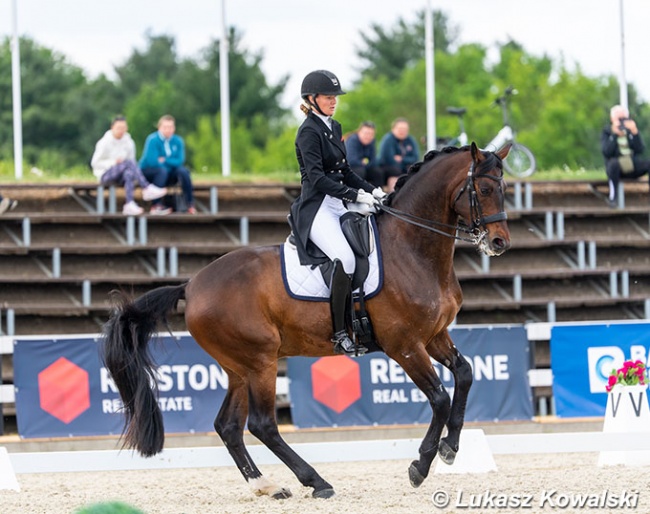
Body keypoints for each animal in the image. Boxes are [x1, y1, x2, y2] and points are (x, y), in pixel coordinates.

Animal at [102, 140, 506, 496]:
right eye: (485, 188)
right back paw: (316, 482)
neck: (412, 248)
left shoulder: (434, 335)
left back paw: (267, 486)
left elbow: (465, 375)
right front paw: (420, 466)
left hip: (238, 368)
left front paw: (451, 447)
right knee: (263, 425)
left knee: (228, 426)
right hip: (261, 361)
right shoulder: (404, 345)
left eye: (504, 188)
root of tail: (192, 284)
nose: (499, 243)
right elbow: (438, 397)